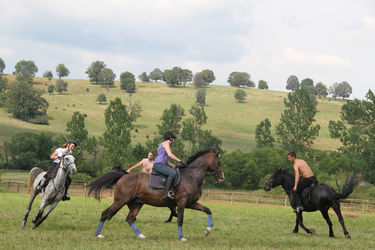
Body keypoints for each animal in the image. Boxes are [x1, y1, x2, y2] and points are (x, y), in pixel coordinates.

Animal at [86, 149, 225, 241]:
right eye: (219, 162)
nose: (222, 177)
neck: (191, 177)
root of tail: (123, 176)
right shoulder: (182, 202)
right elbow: (180, 219)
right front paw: (181, 237)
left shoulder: (191, 203)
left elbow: (208, 210)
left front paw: (207, 231)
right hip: (121, 201)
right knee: (106, 213)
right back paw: (98, 234)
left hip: (137, 203)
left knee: (130, 218)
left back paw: (141, 235)